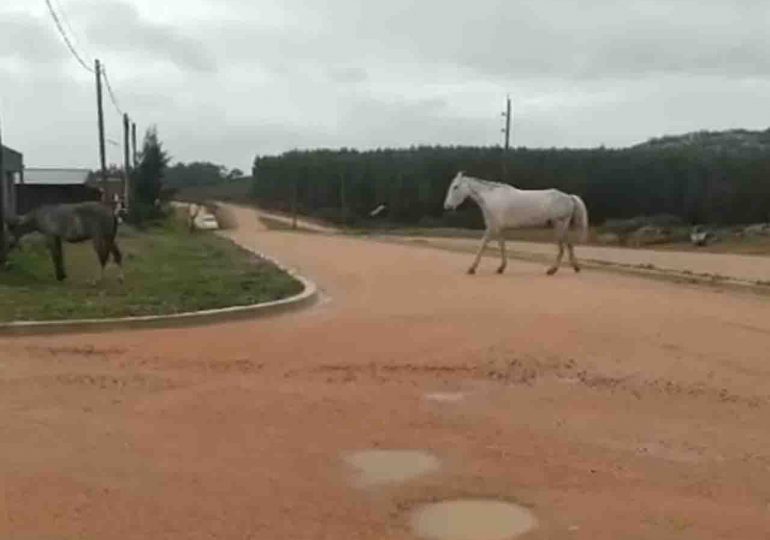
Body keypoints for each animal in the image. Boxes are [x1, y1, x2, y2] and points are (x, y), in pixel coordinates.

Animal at [444, 172, 588, 274]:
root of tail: (569, 197)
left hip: (559, 225)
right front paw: (501, 268)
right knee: (569, 245)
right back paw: (575, 267)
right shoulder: (499, 229)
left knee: (562, 248)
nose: (447, 206)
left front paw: (472, 268)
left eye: (455, 187)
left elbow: (483, 245)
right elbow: (502, 246)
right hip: (562, 227)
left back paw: (552, 270)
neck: (492, 198)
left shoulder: (492, 228)